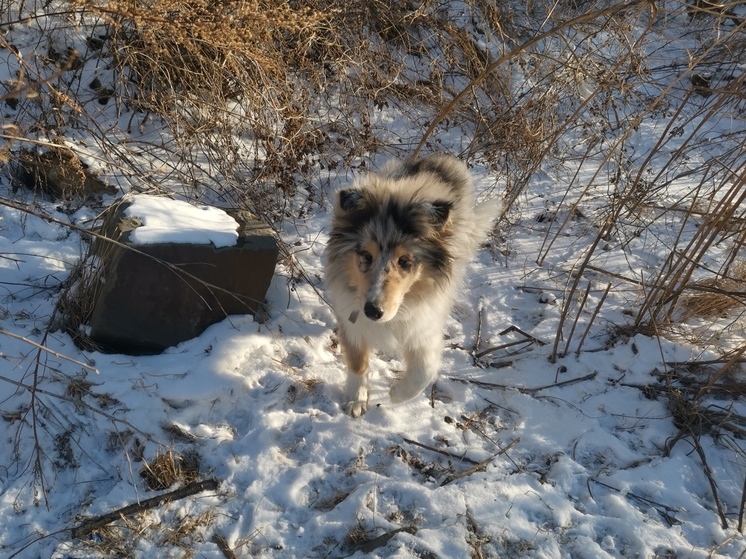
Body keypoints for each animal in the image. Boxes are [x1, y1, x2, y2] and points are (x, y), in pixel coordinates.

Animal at [322, 153, 496, 416]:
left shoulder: (425, 324)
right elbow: (357, 361)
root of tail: (439, 157)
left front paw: (397, 394)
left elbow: (425, 370)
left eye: (405, 261)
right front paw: (355, 400)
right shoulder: (351, 318)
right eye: (366, 256)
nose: (372, 311)